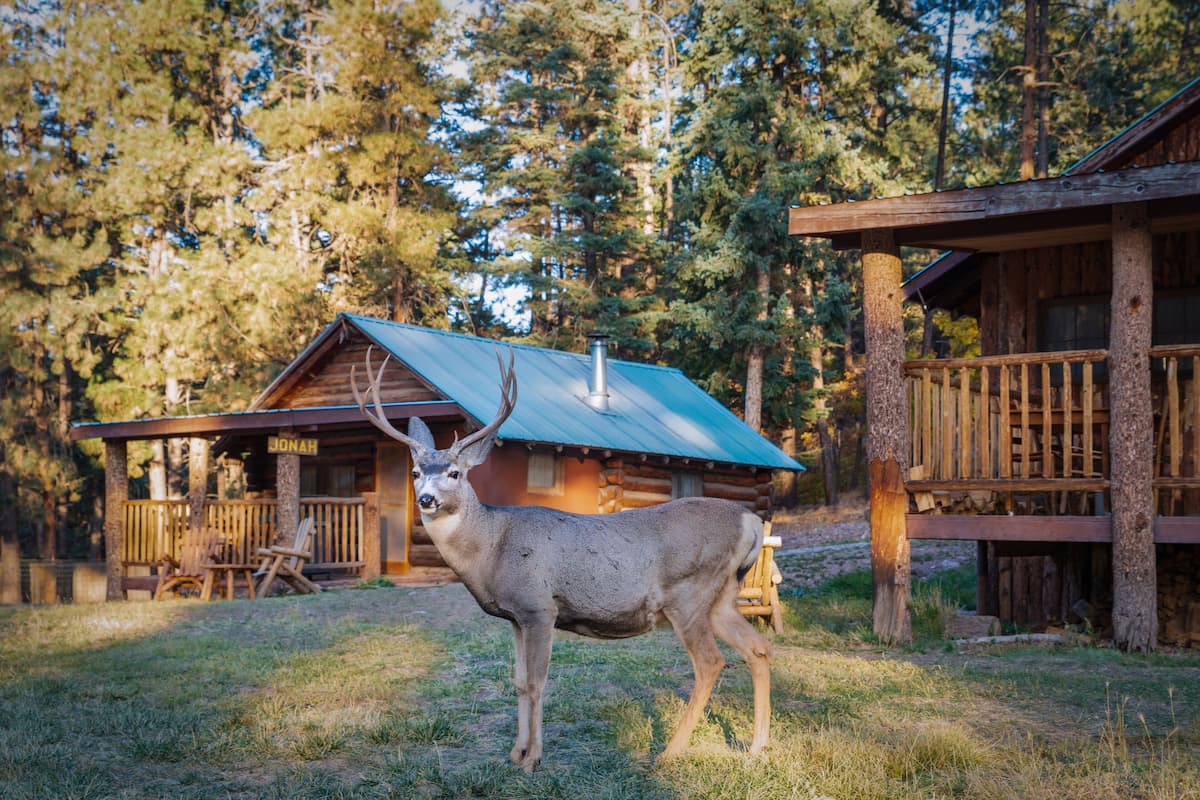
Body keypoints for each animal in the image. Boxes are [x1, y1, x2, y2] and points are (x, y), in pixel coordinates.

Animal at [351, 347, 770, 772]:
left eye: (455, 473)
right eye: (416, 472)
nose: (426, 499)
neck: (491, 547)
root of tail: (751, 520)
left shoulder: (539, 607)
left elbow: (537, 683)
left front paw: (533, 758)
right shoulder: (515, 617)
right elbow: (519, 682)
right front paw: (515, 752)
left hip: (688, 591)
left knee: (711, 662)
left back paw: (670, 751)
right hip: (722, 596)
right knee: (758, 648)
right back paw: (756, 746)